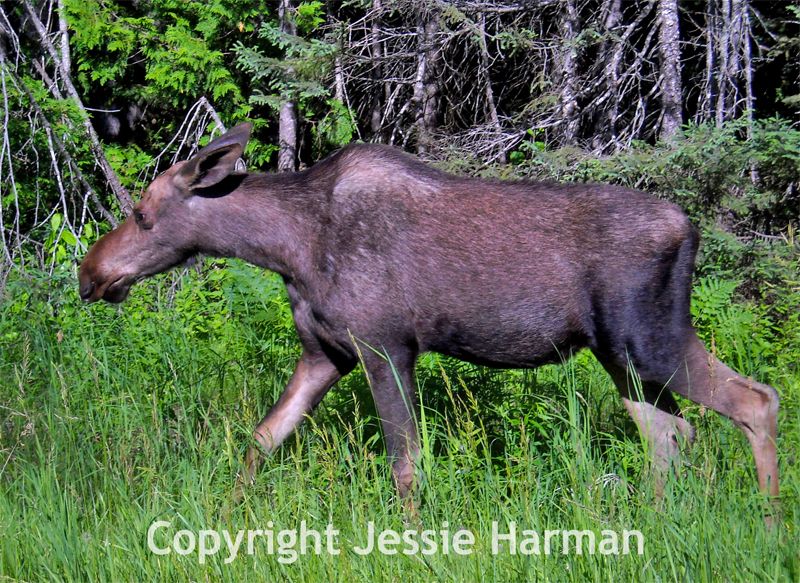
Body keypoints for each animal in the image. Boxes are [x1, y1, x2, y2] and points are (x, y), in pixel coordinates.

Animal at [78, 124, 780, 512]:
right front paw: (226, 516)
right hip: (620, 354)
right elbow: (263, 439)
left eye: (142, 214)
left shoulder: (385, 344)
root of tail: (690, 230)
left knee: (755, 400)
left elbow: (406, 462)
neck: (287, 249)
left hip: (649, 338)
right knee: (671, 433)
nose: (90, 273)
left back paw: (770, 528)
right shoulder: (326, 352)